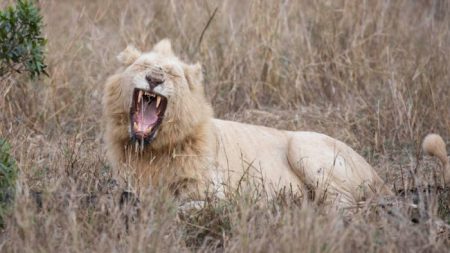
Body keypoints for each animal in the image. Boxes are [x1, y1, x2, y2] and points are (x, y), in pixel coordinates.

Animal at [103, 38, 450, 211]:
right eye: (144, 66)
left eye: (172, 74)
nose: (154, 79)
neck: (152, 150)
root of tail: (379, 176)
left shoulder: (221, 194)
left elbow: (183, 206)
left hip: (304, 145)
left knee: (345, 204)